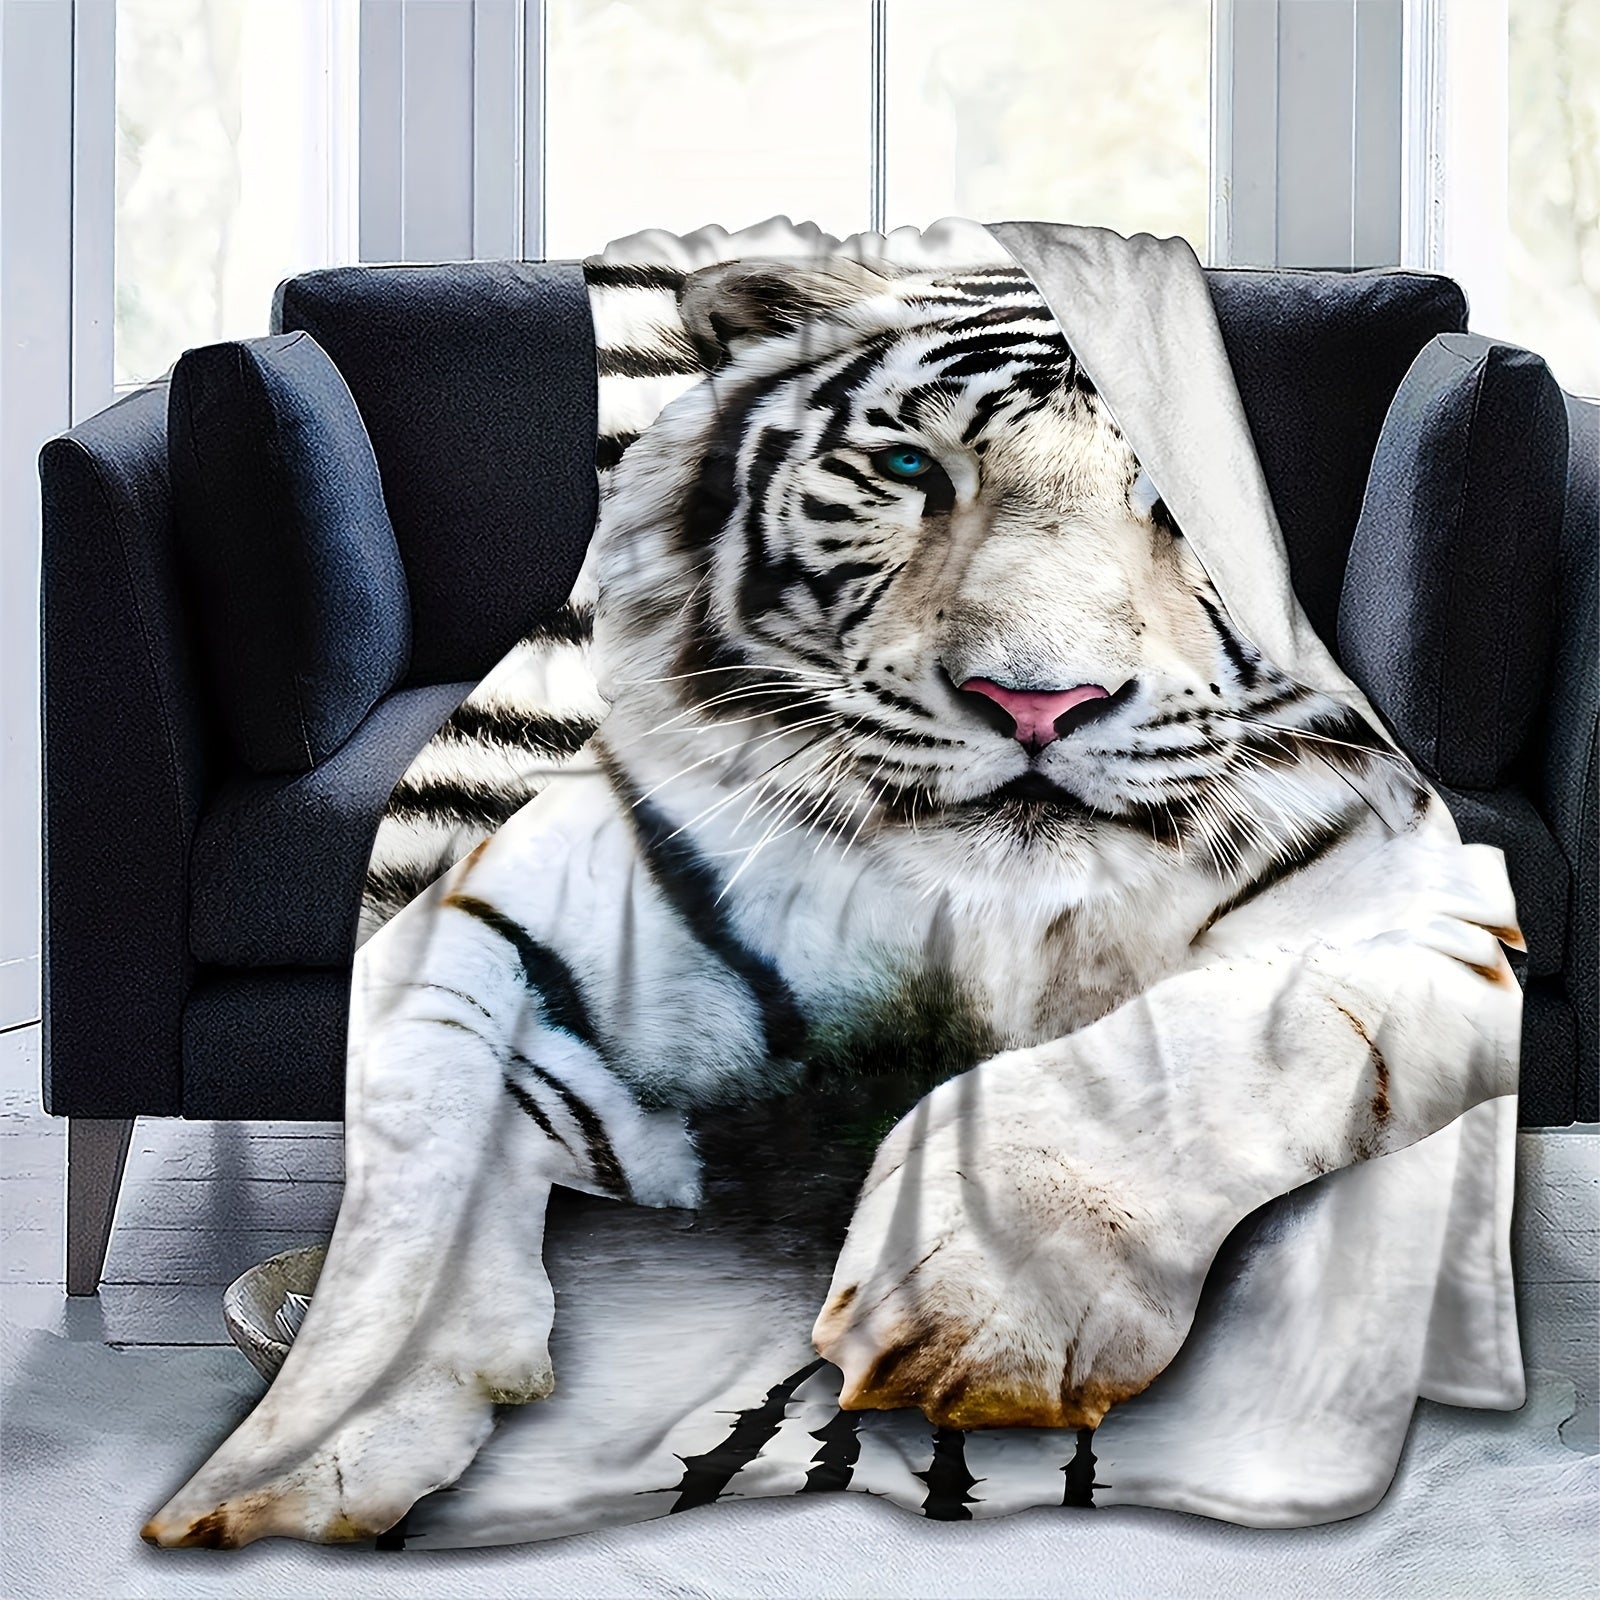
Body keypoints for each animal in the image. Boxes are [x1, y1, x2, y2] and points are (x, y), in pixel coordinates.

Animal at [144, 243, 1520, 1548]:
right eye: (912, 467)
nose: (1036, 703)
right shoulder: (502, 915)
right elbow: (421, 1147)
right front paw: (319, 1432)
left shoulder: (1443, 918)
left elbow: (1213, 1044)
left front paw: (987, 1301)